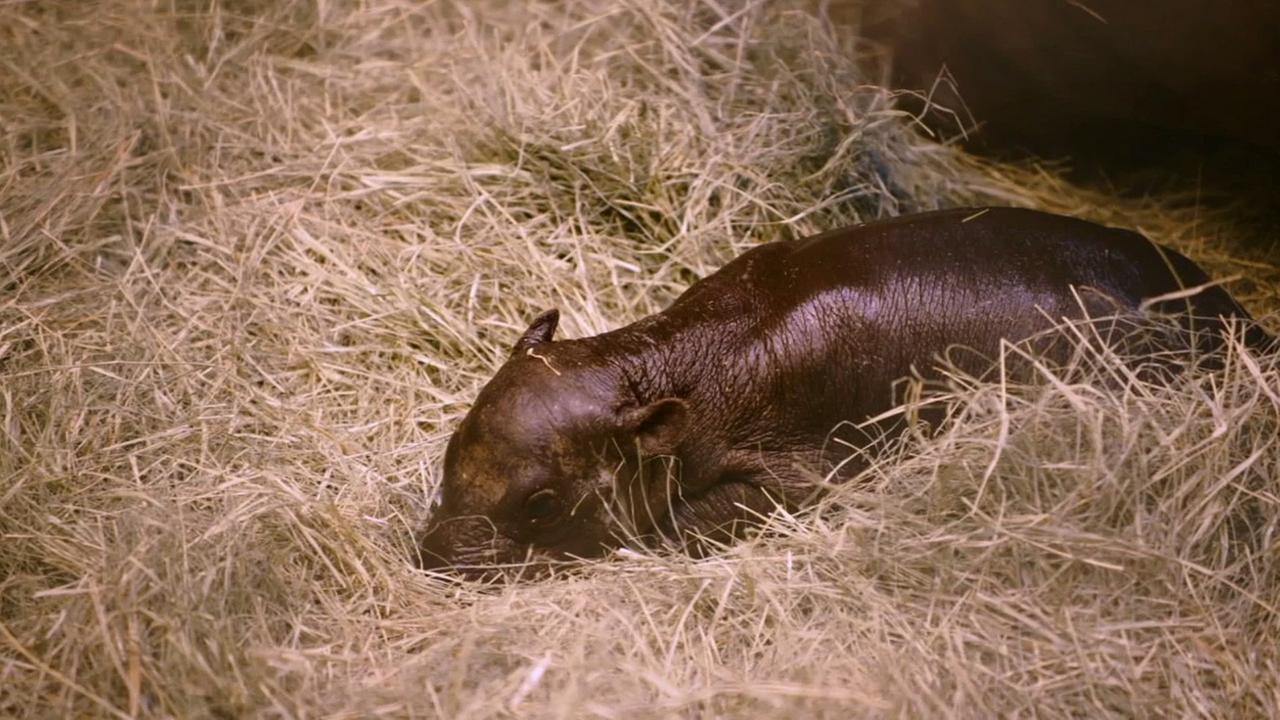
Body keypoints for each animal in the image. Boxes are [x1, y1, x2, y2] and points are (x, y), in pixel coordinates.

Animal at [414, 204, 1264, 573]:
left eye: (542, 504)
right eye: (451, 448)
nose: (438, 554)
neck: (669, 361)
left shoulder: (796, 474)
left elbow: (692, 521)